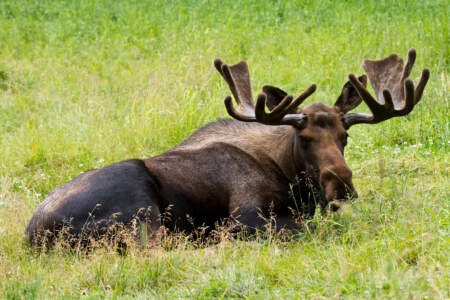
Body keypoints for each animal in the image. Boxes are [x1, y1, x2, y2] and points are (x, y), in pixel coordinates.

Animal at [25, 49, 428, 246]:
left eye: (345, 136)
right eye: (305, 138)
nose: (341, 182)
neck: (288, 176)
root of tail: (32, 235)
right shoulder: (245, 216)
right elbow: (308, 229)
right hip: (142, 212)